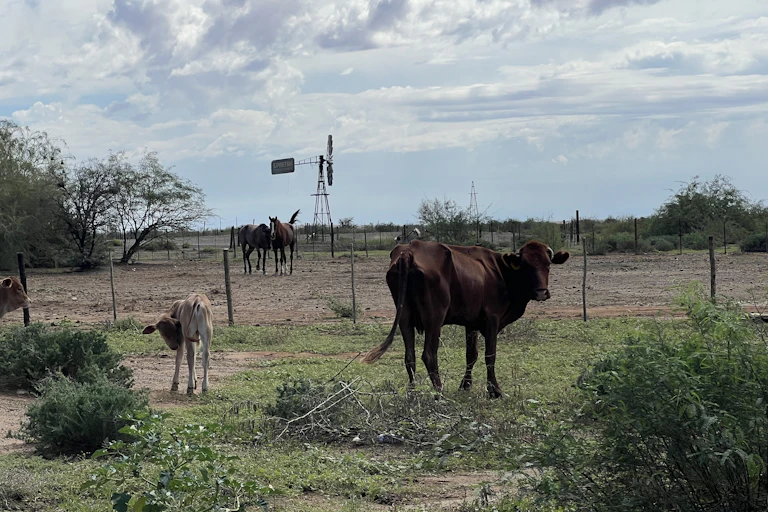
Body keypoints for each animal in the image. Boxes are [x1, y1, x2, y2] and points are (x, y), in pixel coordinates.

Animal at [361, 240, 569, 398]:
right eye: (526, 266)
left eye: (548, 264)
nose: (541, 292)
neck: (500, 272)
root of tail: (409, 251)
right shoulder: (492, 318)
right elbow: (490, 355)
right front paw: (495, 390)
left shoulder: (472, 323)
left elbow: (471, 354)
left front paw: (465, 386)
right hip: (434, 318)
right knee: (429, 354)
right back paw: (439, 392)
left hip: (404, 318)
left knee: (409, 357)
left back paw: (413, 393)